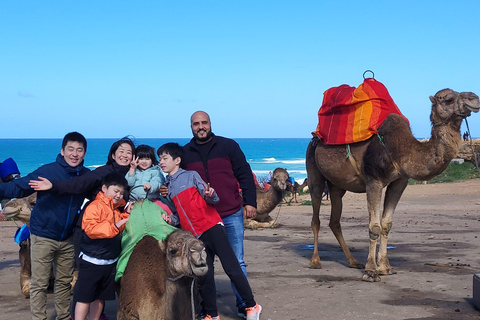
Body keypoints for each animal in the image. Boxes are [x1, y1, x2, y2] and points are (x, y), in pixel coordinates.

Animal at [306, 89, 478, 282]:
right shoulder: (373, 180)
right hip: (313, 169)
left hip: (337, 185)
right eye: (448, 99)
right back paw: (315, 261)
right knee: (315, 214)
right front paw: (371, 271)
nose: (474, 98)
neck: (402, 149)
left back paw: (353, 261)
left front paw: (385, 267)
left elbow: (386, 224)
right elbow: (374, 227)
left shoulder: (399, 182)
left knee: (335, 220)